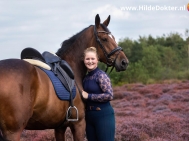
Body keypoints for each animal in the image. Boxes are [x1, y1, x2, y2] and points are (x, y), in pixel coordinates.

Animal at [0, 13, 128, 140]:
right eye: (104, 39)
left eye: (113, 38)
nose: (124, 62)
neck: (72, 68)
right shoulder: (79, 124)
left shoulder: (59, 127)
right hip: (13, 132)